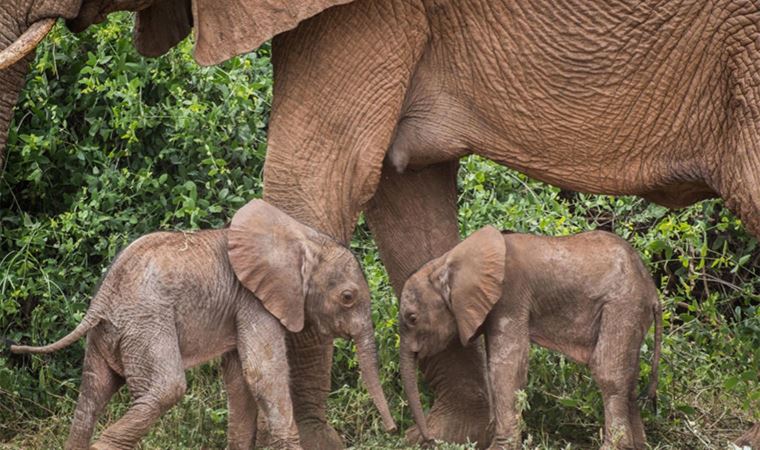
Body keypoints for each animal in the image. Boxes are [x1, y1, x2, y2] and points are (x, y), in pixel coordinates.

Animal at [8, 200, 394, 450]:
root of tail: (101, 299)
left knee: (91, 395)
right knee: (166, 388)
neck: (301, 238)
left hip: (111, 332)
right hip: (146, 323)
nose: (392, 430)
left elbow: (239, 380)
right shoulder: (253, 301)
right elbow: (263, 374)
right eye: (348, 297)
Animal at [400, 227, 664, 450]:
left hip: (623, 304)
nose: (428, 440)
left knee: (608, 372)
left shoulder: (510, 296)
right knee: (629, 377)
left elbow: (506, 366)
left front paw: (499, 449)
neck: (446, 261)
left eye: (411, 318)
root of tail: (652, 290)